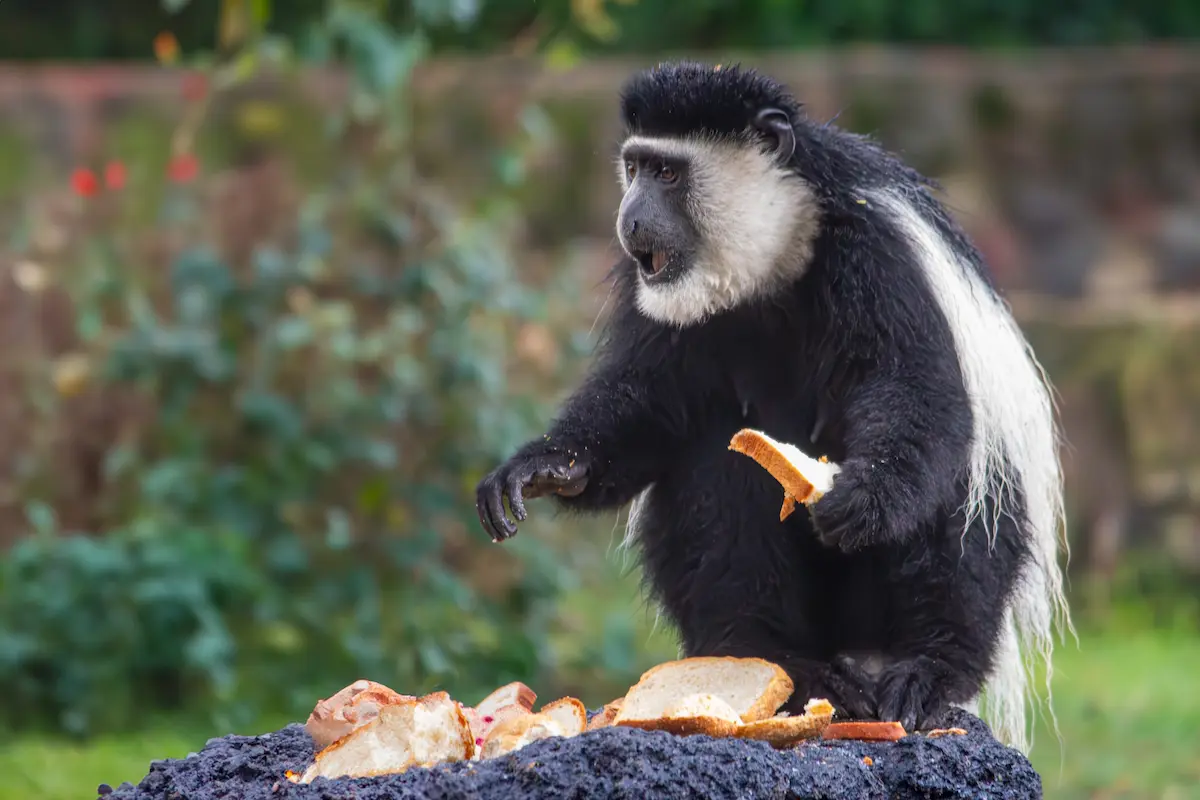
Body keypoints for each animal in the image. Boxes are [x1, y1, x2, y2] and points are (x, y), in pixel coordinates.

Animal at [475, 61, 1072, 753]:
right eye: (635, 168)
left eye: (668, 174)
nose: (630, 218)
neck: (780, 250)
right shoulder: (656, 297)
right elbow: (648, 405)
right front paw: (546, 465)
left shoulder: (879, 253)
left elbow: (917, 388)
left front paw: (864, 495)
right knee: (718, 458)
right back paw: (778, 662)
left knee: (962, 498)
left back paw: (924, 674)